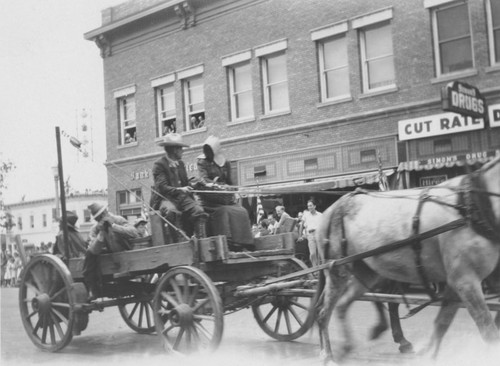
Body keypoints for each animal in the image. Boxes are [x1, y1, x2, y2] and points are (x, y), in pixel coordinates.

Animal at [314, 155, 498, 364]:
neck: (473, 205)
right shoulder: (465, 281)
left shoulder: (458, 282)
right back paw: (328, 355)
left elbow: (442, 324)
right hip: (338, 270)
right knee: (323, 314)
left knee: (341, 306)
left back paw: (343, 347)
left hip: (365, 271)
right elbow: (488, 331)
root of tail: (329, 211)